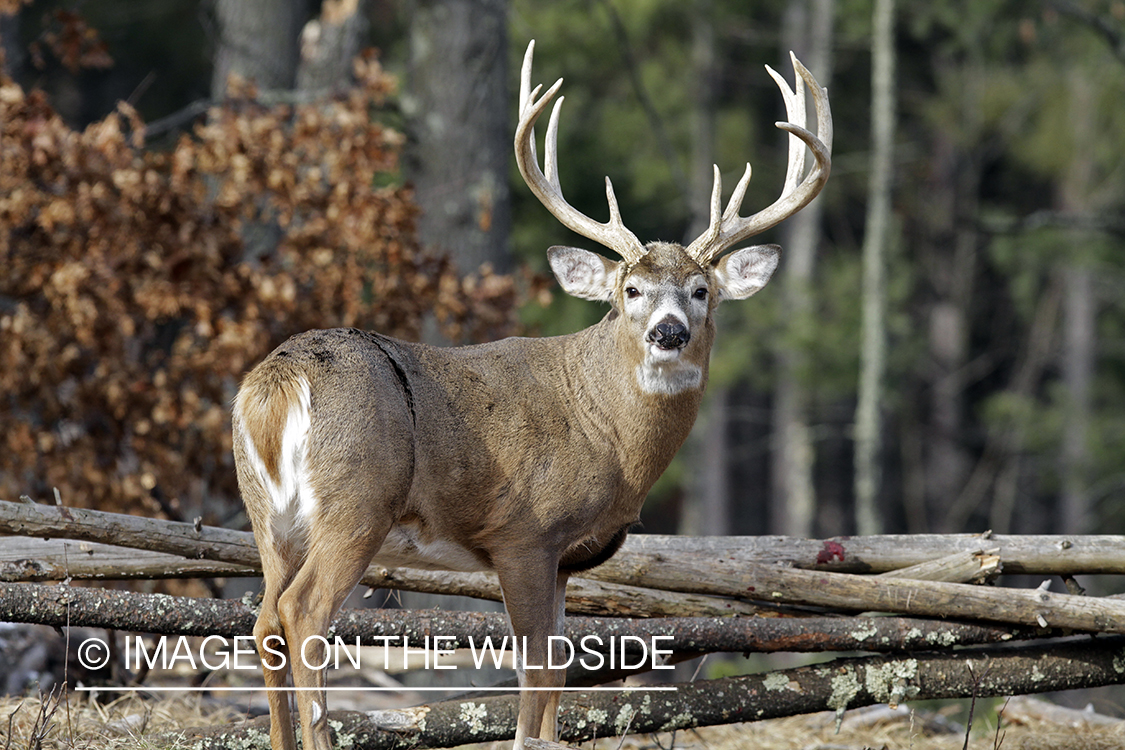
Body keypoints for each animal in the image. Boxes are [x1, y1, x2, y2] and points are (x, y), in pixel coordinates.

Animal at [230, 39, 828, 750]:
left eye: (701, 290)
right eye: (630, 290)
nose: (669, 332)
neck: (607, 431)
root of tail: (277, 382)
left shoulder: (566, 560)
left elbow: (559, 671)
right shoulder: (525, 534)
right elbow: (534, 673)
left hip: (268, 515)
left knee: (265, 618)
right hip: (358, 500)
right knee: (303, 613)